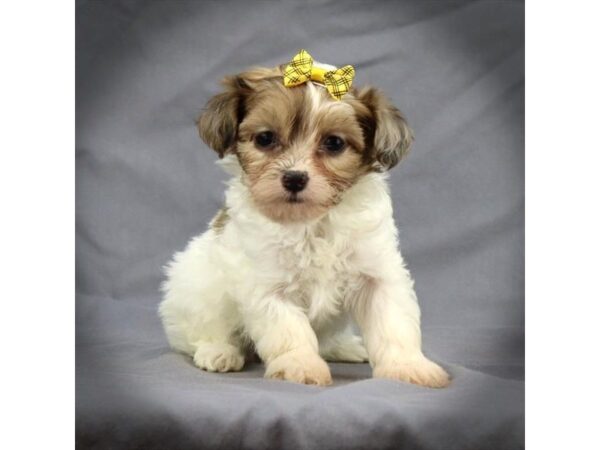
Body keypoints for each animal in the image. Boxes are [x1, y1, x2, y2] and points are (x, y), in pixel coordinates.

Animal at [159, 55, 450, 386]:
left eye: (334, 143)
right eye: (265, 138)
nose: (295, 178)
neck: (313, 222)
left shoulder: (377, 273)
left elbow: (392, 323)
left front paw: (407, 366)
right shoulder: (267, 283)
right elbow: (288, 329)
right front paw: (300, 365)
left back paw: (344, 346)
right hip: (195, 291)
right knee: (202, 331)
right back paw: (219, 352)